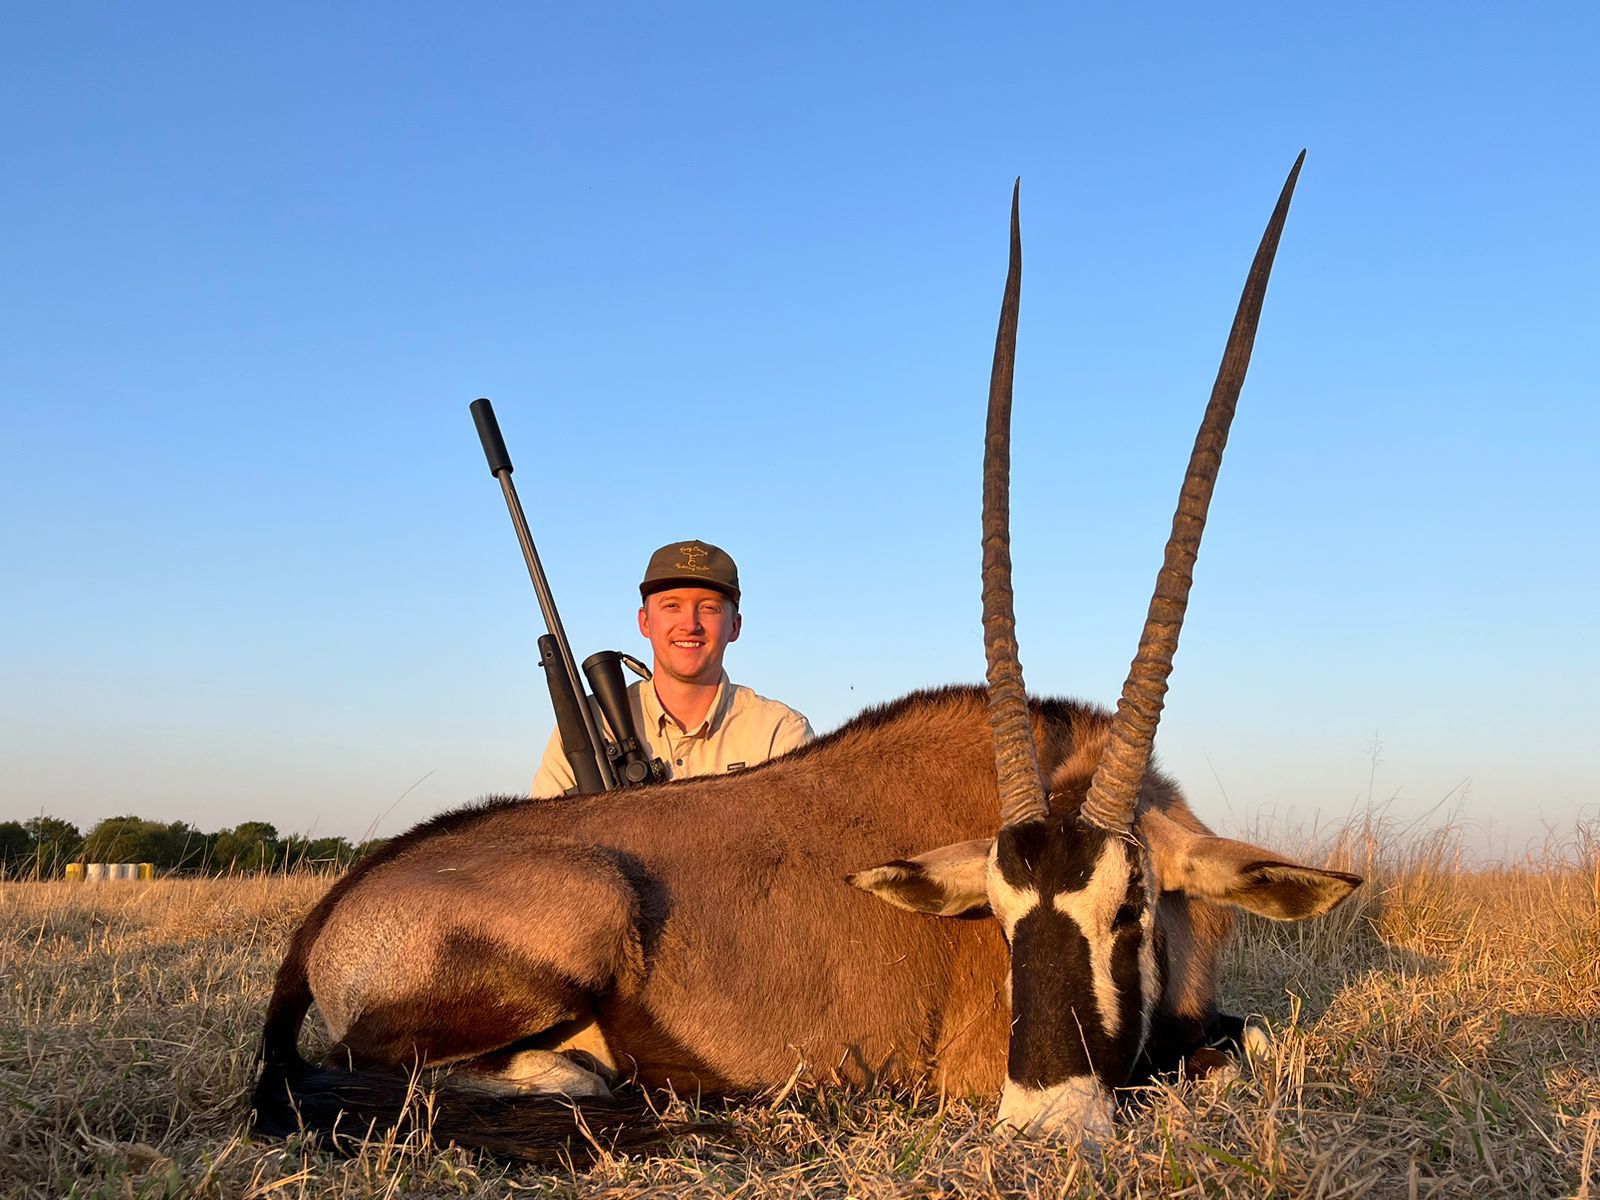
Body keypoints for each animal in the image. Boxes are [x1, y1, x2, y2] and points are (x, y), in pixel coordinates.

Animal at [252, 153, 1360, 1159]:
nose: (1044, 1126)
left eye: (1129, 909)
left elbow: (1261, 1036)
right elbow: (1235, 1054)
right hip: (581, 921)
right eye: (999, 917)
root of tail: (333, 913)